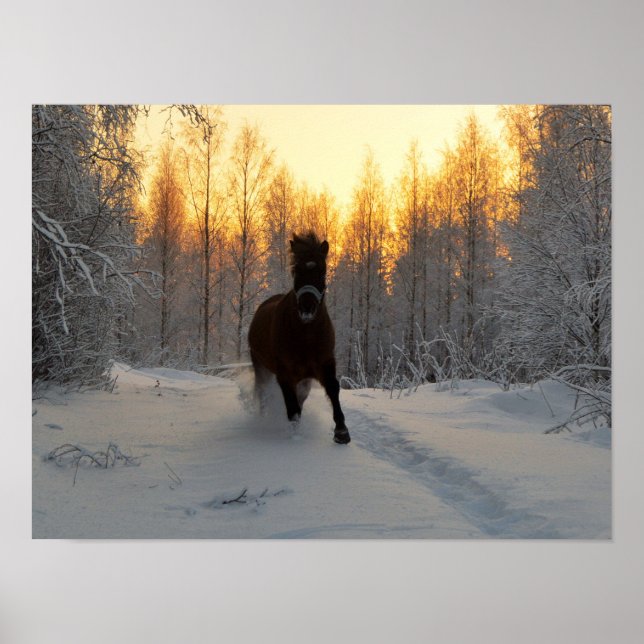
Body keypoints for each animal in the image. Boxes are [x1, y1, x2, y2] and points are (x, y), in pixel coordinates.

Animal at [248, 232, 351, 444]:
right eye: (296, 271)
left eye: (322, 271)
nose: (307, 308)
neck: (306, 336)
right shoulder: (285, 374)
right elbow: (292, 407)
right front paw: (296, 437)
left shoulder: (324, 364)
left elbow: (333, 389)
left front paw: (342, 432)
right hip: (261, 366)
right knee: (262, 392)